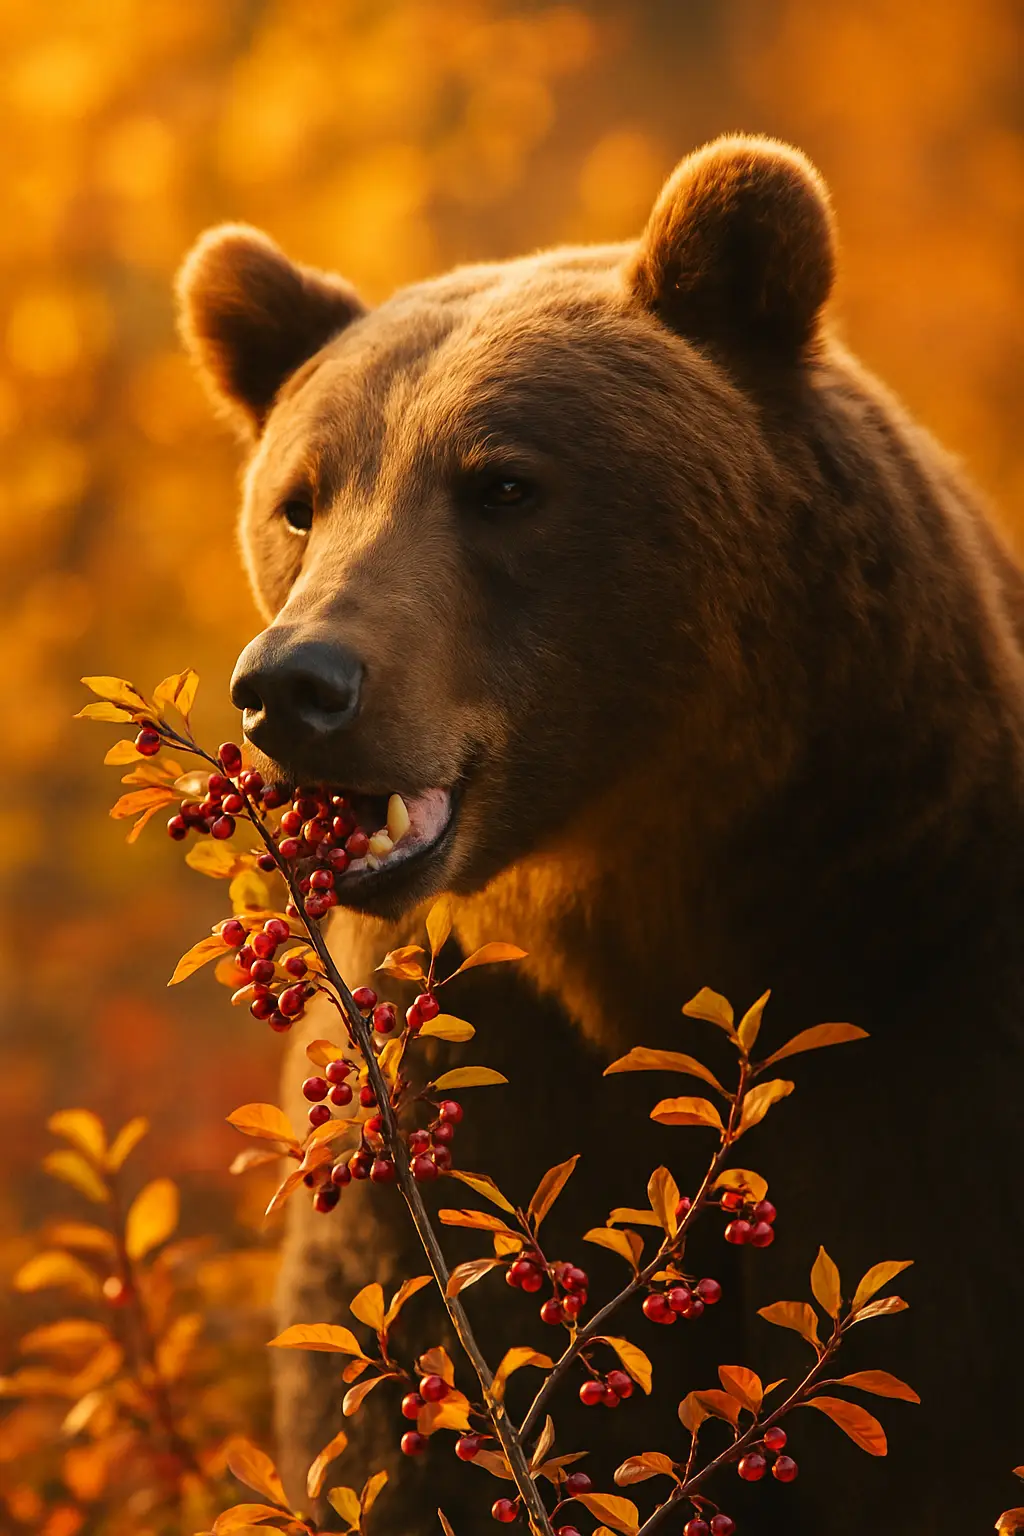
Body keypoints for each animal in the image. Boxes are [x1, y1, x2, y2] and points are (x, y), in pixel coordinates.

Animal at [176, 135, 1024, 1535]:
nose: (294, 684)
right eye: (299, 500)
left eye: (503, 483)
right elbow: (400, 1424)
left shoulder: (928, 1038)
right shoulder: (460, 1111)